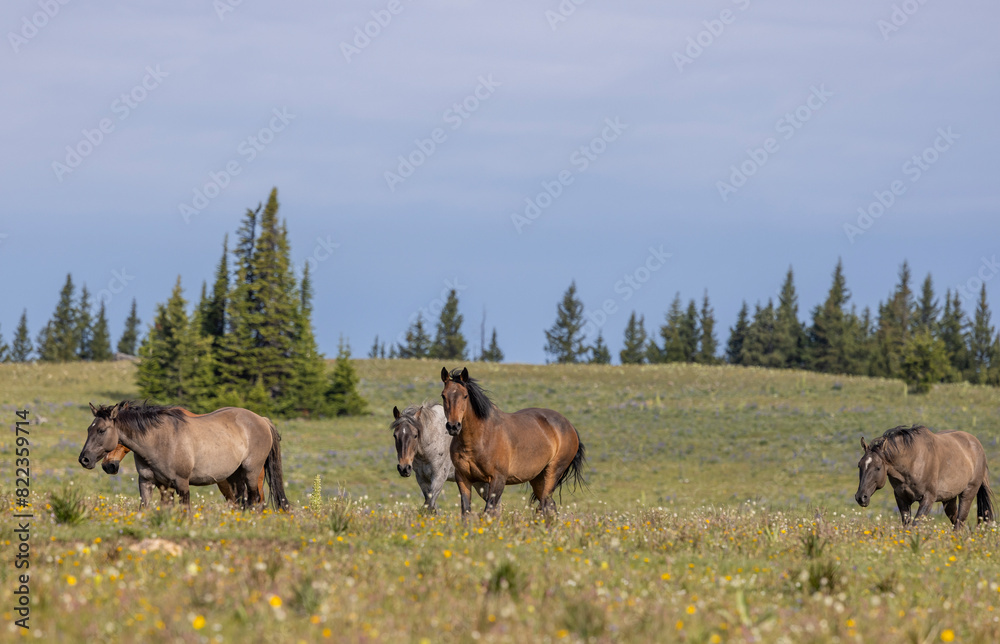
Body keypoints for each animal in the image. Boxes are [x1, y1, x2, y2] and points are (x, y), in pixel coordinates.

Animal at [440, 368, 584, 520]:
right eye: (443, 395)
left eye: (465, 396)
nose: (453, 426)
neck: (481, 437)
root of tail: (570, 426)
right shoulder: (463, 478)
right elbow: (466, 512)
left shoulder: (498, 479)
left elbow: (489, 511)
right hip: (538, 478)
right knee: (550, 506)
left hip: (553, 472)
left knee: (545, 504)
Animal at [856, 422, 996, 528]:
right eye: (859, 465)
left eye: (878, 467)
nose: (861, 497)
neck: (913, 461)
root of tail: (977, 446)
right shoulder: (901, 498)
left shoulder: (928, 498)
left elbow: (915, 525)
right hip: (949, 499)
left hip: (968, 493)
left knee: (959, 522)